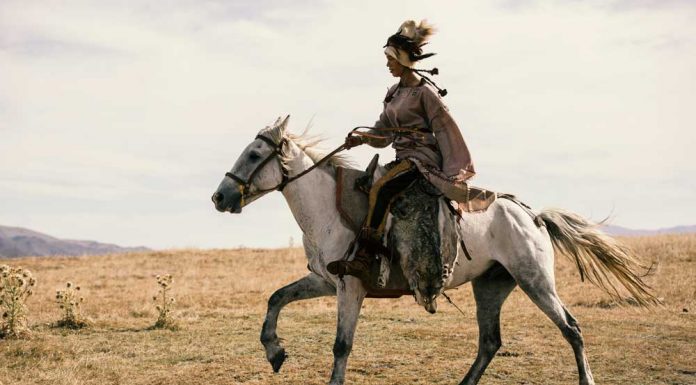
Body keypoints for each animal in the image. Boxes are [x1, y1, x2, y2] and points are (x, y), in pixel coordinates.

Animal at [212, 116, 656, 384]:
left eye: (254, 154)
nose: (220, 197)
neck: (326, 207)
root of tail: (532, 216)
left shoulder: (350, 288)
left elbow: (341, 345)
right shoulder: (325, 280)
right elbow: (276, 298)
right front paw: (274, 351)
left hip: (536, 281)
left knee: (571, 329)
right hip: (492, 285)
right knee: (490, 342)